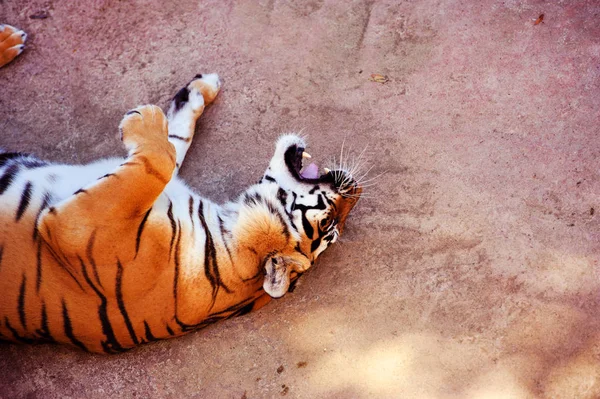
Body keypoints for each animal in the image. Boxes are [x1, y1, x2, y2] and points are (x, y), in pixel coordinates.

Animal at [0, 54, 360, 352]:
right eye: (331, 224)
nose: (354, 188)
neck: (230, 232)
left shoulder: (73, 228)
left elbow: (158, 161)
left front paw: (143, 118)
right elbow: (172, 146)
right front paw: (197, 92)